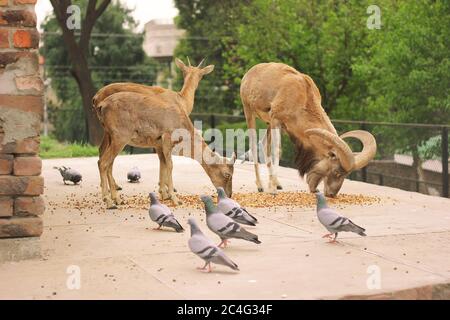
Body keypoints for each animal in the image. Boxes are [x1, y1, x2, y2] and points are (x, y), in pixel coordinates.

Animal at [243, 62, 376, 196]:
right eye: (337, 172)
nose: (331, 194)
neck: (302, 96)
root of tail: (249, 74)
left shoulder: (279, 124)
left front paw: (274, 185)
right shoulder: (276, 119)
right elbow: (277, 150)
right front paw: (272, 190)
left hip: (268, 124)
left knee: (264, 144)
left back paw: (277, 184)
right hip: (249, 111)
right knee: (254, 145)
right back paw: (260, 186)